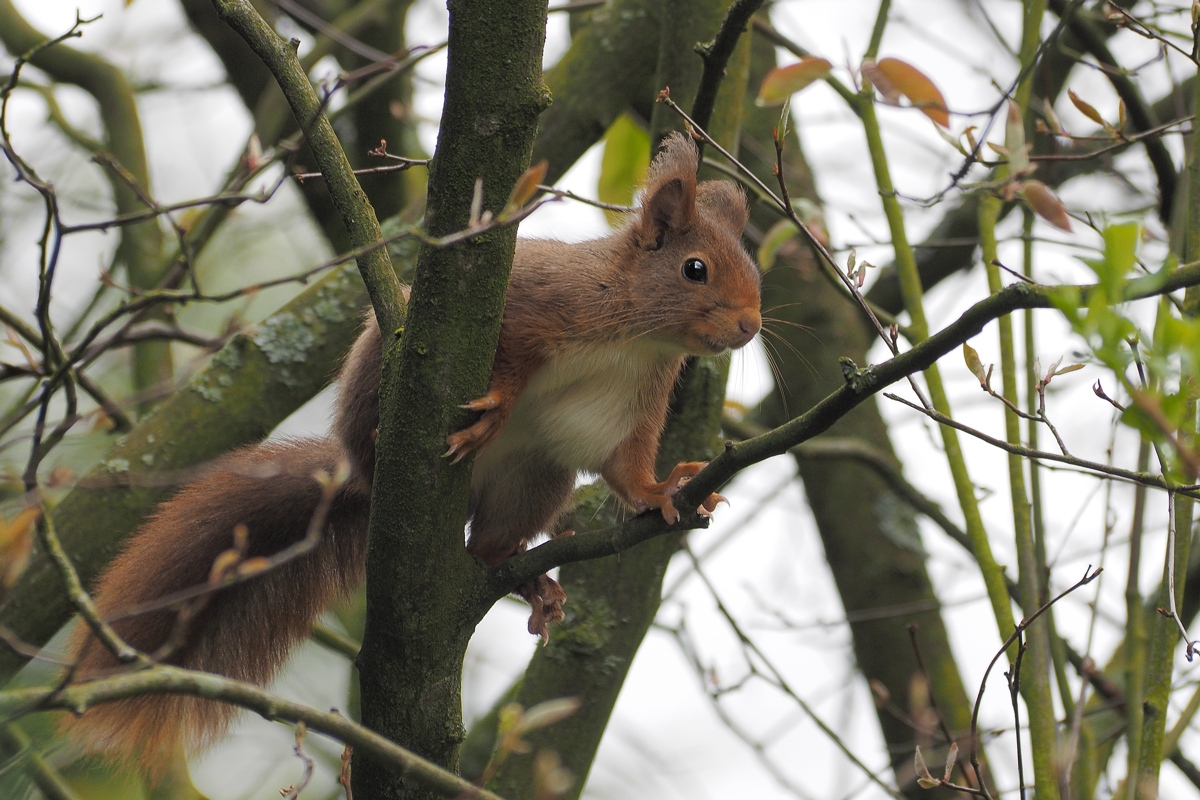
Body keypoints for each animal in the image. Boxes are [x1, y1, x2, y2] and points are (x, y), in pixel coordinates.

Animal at [60, 134, 758, 777]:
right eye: (695, 269)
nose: (751, 326)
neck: (637, 335)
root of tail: (360, 483)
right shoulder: (539, 303)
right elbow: (510, 358)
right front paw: (497, 408)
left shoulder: (637, 402)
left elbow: (623, 468)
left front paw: (663, 492)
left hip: (534, 478)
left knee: (485, 547)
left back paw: (527, 577)